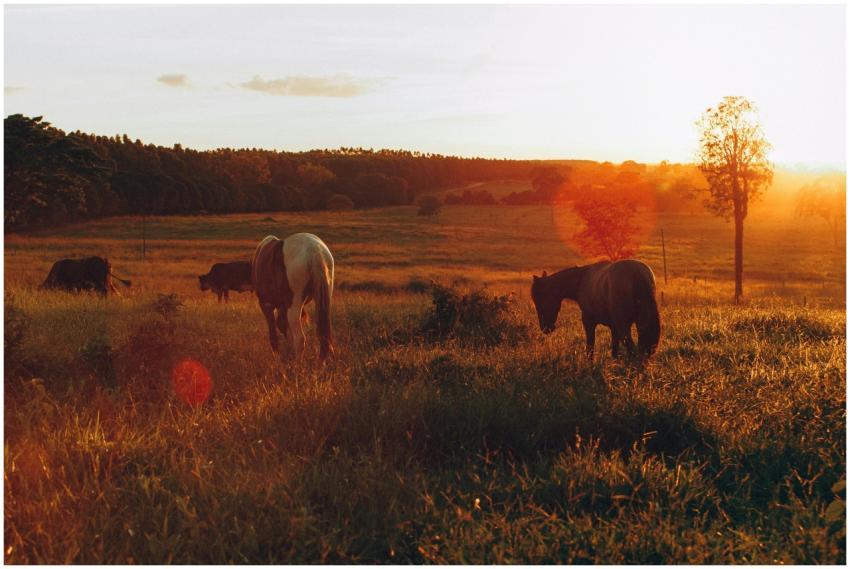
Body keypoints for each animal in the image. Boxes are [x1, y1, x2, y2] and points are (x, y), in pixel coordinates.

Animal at [531, 259, 661, 359]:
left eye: (539, 299)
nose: (546, 328)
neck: (582, 279)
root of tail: (636, 273)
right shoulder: (613, 327)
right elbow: (614, 349)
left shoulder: (588, 321)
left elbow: (590, 346)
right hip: (641, 323)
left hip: (624, 325)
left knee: (631, 348)